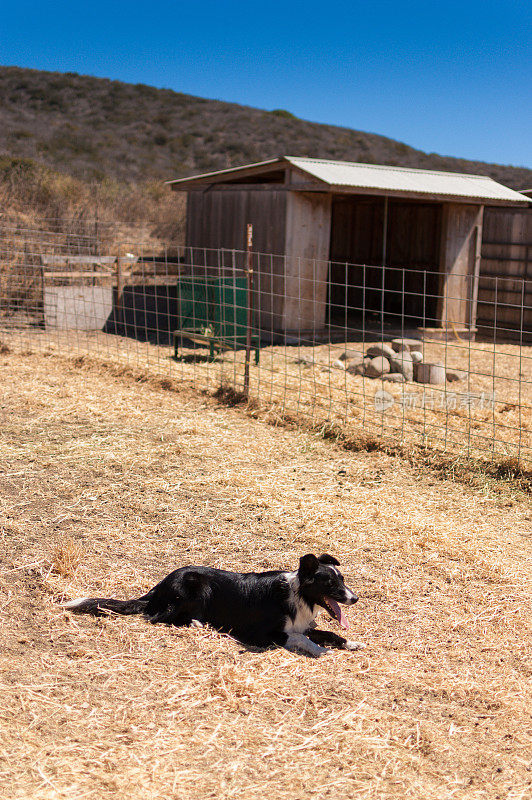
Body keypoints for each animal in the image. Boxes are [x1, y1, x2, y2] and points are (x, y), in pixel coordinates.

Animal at [61, 552, 362, 660]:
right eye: (329, 583)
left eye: (343, 579)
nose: (354, 598)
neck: (299, 595)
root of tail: (159, 586)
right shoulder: (265, 634)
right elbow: (303, 639)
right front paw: (321, 650)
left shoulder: (303, 624)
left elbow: (328, 632)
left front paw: (350, 643)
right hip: (196, 586)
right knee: (157, 618)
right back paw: (195, 623)